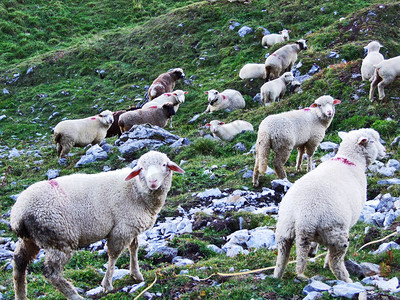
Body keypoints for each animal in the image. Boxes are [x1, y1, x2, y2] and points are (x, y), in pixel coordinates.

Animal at [9, 152, 184, 300]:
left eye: (164, 164)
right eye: (141, 168)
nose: (153, 182)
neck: (136, 190)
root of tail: (19, 213)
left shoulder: (130, 227)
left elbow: (134, 248)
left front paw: (136, 274)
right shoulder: (121, 230)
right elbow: (113, 255)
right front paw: (107, 284)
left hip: (30, 239)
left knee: (19, 262)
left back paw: (21, 295)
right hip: (59, 239)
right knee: (51, 273)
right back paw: (74, 296)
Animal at [274, 128, 386, 282]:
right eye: (374, 141)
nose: (385, 151)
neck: (351, 160)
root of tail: (304, 218)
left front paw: (312, 250)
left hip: (285, 230)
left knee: (282, 257)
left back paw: (277, 276)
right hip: (335, 233)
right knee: (335, 261)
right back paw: (346, 279)